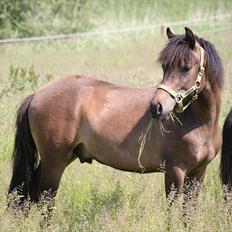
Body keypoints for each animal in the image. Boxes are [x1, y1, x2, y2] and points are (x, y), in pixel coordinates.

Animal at [8, 27, 224, 208]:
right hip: (54, 162)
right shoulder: (175, 171)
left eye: (185, 67)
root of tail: (36, 94)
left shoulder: (198, 173)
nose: (156, 107)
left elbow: (189, 212)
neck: (199, 124)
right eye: (165, 67)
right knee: (45, 200)